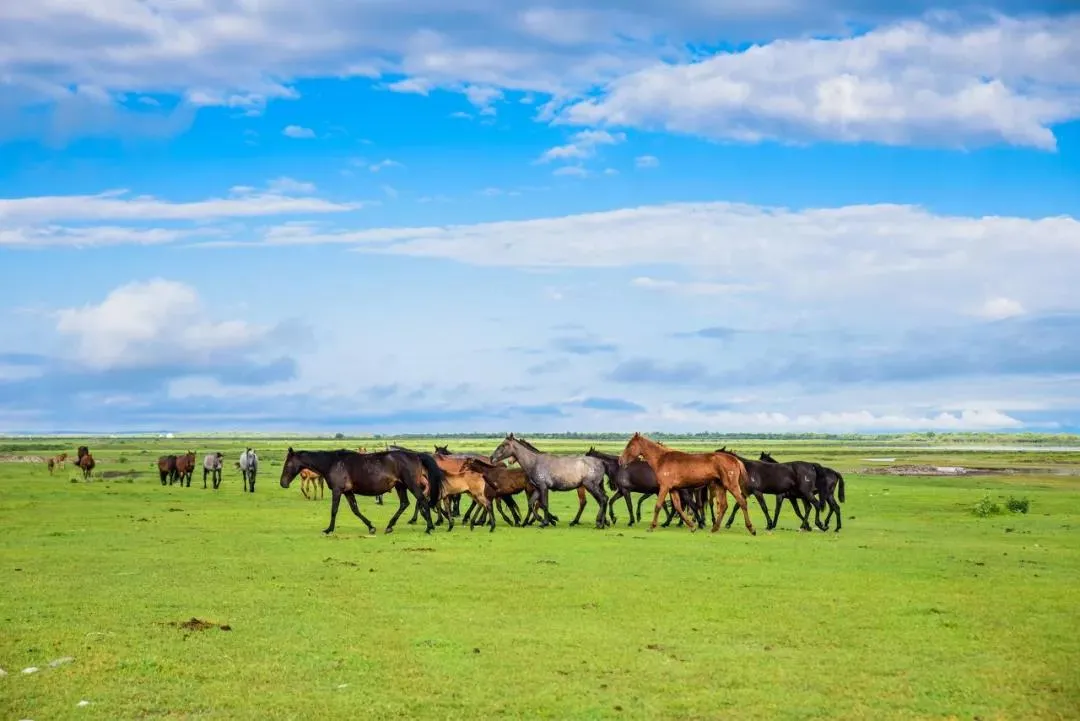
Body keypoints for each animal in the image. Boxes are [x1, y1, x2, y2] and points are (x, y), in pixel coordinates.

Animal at [282, 451, 447, 535]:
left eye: (288, 464)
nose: (283, 483)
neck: (332, 462)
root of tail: (416, 455)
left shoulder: (337, 490)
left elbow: (334, 510)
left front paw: (329, 529)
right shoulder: (347, 491)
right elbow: (355, 509)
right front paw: (371, 527)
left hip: (411, 485)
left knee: (422, 500)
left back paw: (429, 527)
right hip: (400, 486)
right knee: (404, 503)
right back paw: (389, 526)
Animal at [622, 431, 756, 533]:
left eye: (630, 446)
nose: (621, 460)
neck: (662, 459)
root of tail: (735, 460)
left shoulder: (664, 487)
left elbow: (658, 505)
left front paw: (651, 527)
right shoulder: (673, 489)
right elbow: (678, 507)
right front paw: (692, 526)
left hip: (731, 485)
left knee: (742, 502)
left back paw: (751, 529)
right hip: (720, 486)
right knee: (723, 505)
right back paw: (714, 528)